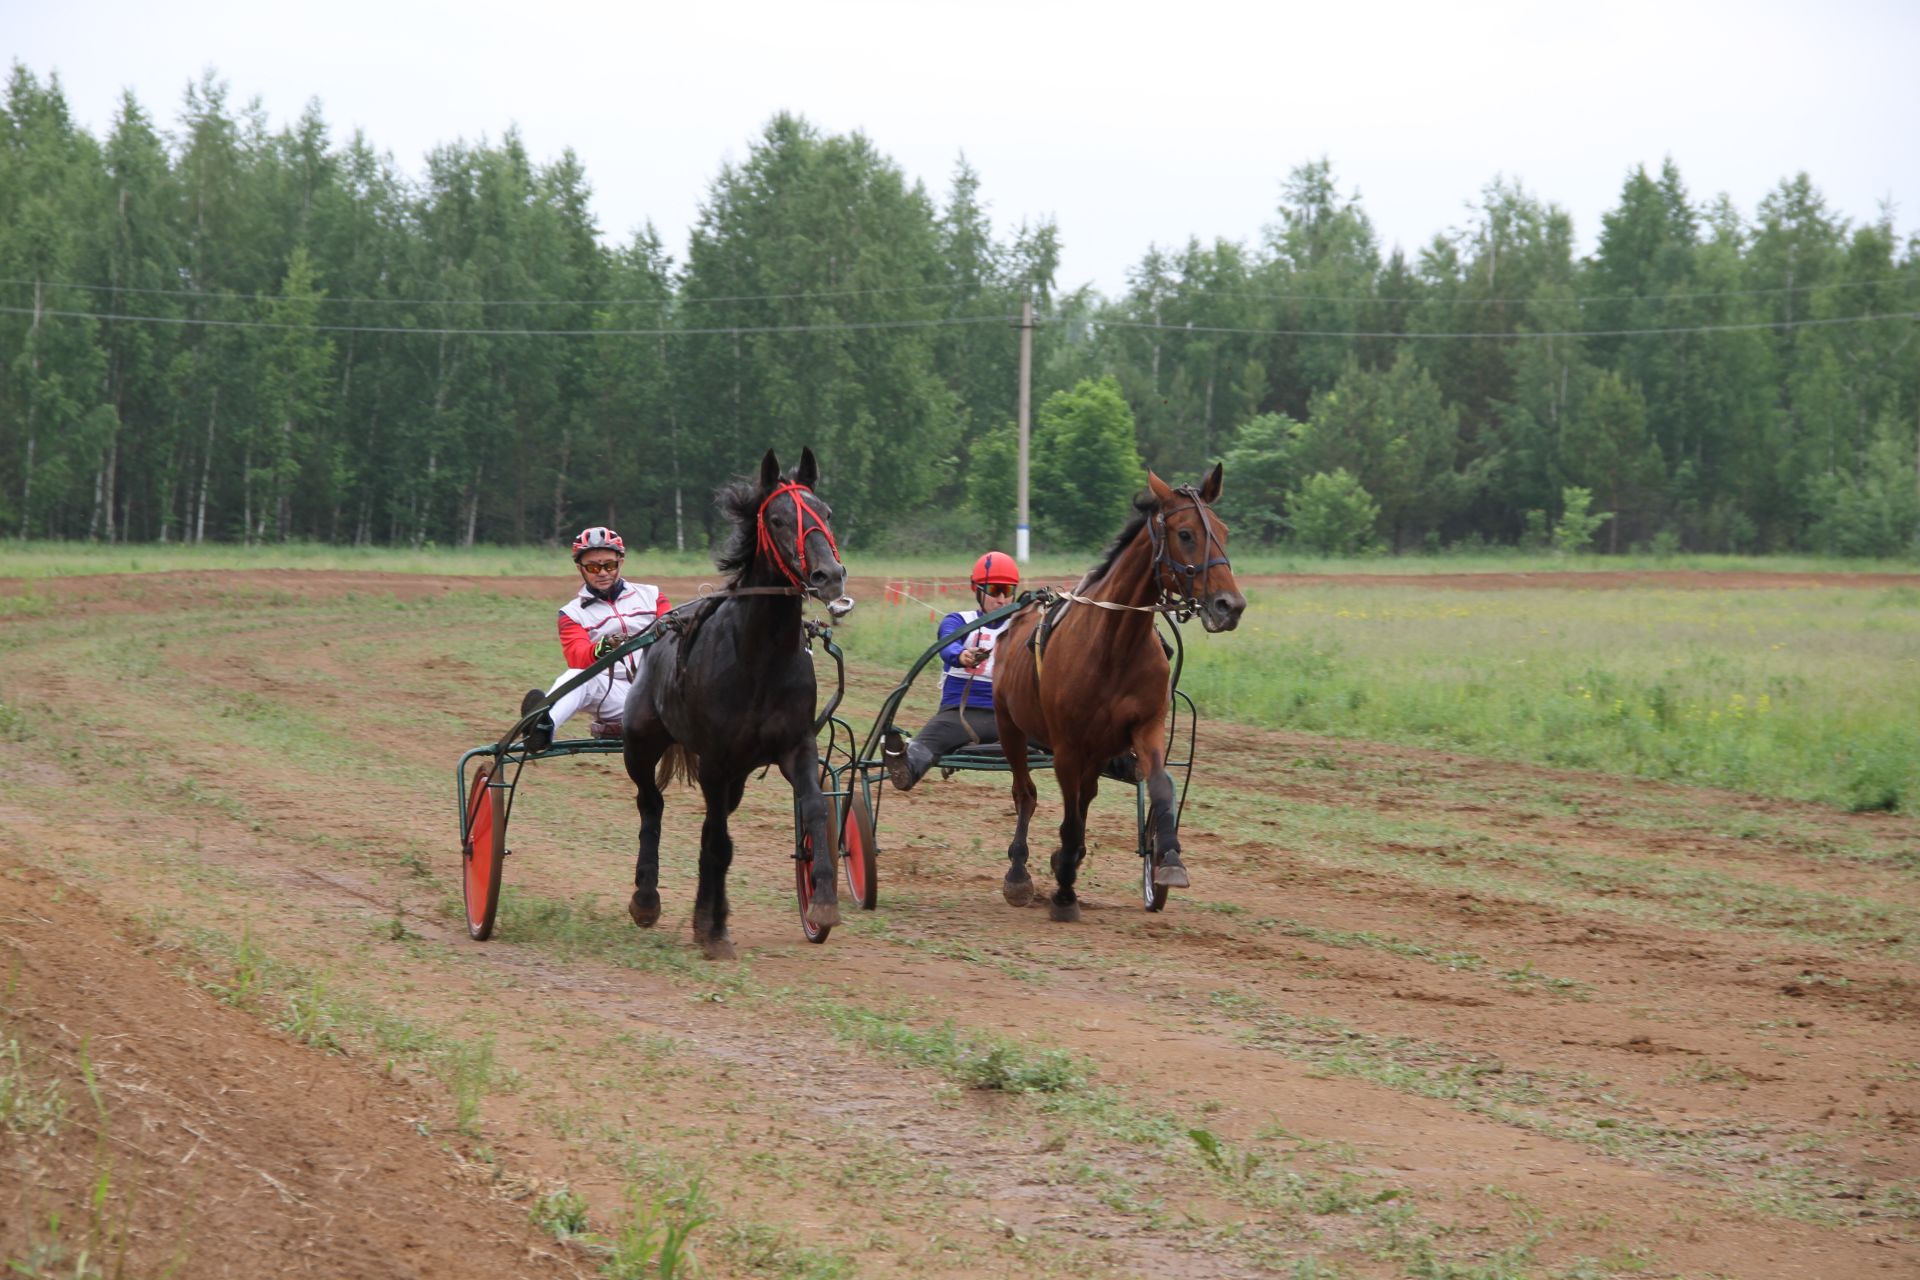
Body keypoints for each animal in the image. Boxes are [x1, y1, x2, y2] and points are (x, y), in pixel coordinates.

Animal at [622, 445, 848, 955]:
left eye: (826, 512)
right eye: (779, 519)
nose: (829, 575)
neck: (758, 658)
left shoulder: (795, 746)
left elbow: (815, 808)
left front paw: (822, 902)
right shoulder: (715, 759)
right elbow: (718, 840)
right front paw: (715, 932)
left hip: (737, 776)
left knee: (708, 826)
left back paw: (706, 915)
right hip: (640, 742)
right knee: (651, 803)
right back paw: (648, 899)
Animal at [990, 468, 1244, 921]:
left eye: (1223, 532)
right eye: (1185, 533)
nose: (1229, 605)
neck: (1113, 645)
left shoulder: (1146, 726)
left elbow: (1160, 786)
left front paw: (1168, 860)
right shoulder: (1067, 745)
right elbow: (1067, 816)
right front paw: (1064, 893)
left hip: (1095, 750)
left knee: (1085, 796)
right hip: (1010, 726)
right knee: (1025, 793)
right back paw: (1020, 873)